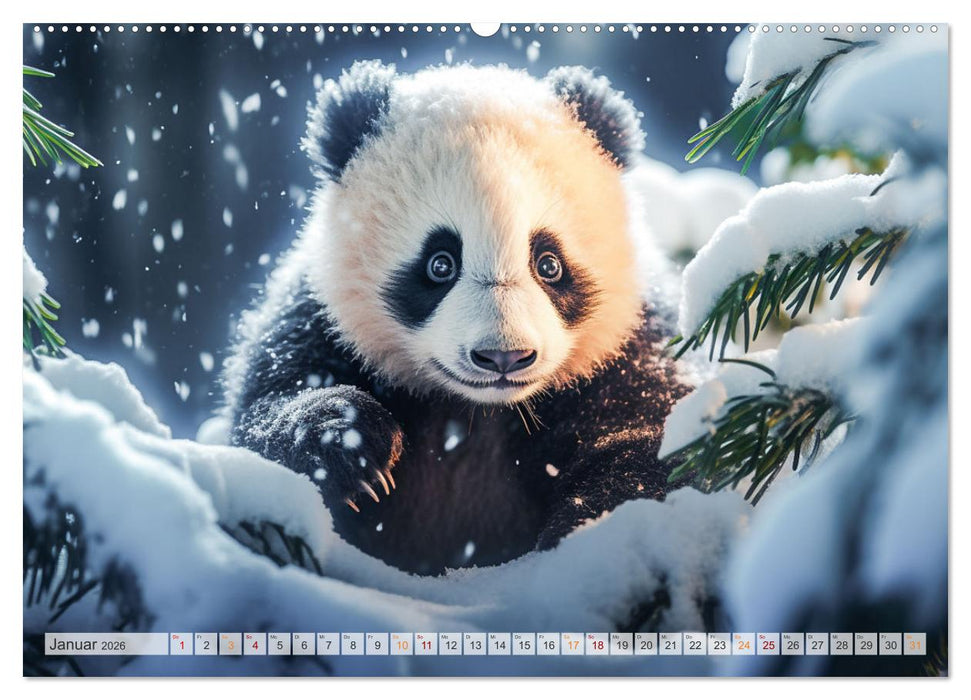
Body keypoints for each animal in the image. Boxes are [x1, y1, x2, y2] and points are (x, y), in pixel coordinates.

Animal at [222, 61, 689, 576]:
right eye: (440, 264)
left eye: (549, 264)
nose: (504, 357)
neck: (474, 411)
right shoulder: (317, 320)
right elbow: (261, 423)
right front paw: (350, 441)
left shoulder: (630, 344)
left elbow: (651, 443)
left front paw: (592, 537)